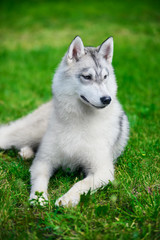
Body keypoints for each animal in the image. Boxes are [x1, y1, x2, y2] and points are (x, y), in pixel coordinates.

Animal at [0, 35, 129, 206]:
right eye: (87, 77)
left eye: (105, 77)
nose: (107, 99)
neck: (79, 120)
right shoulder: (43, 161)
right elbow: (40, 180)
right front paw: (38, 198)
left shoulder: (102, 171)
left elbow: (81, 184)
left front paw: (67, 199)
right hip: (25, 134)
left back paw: (26, 152)